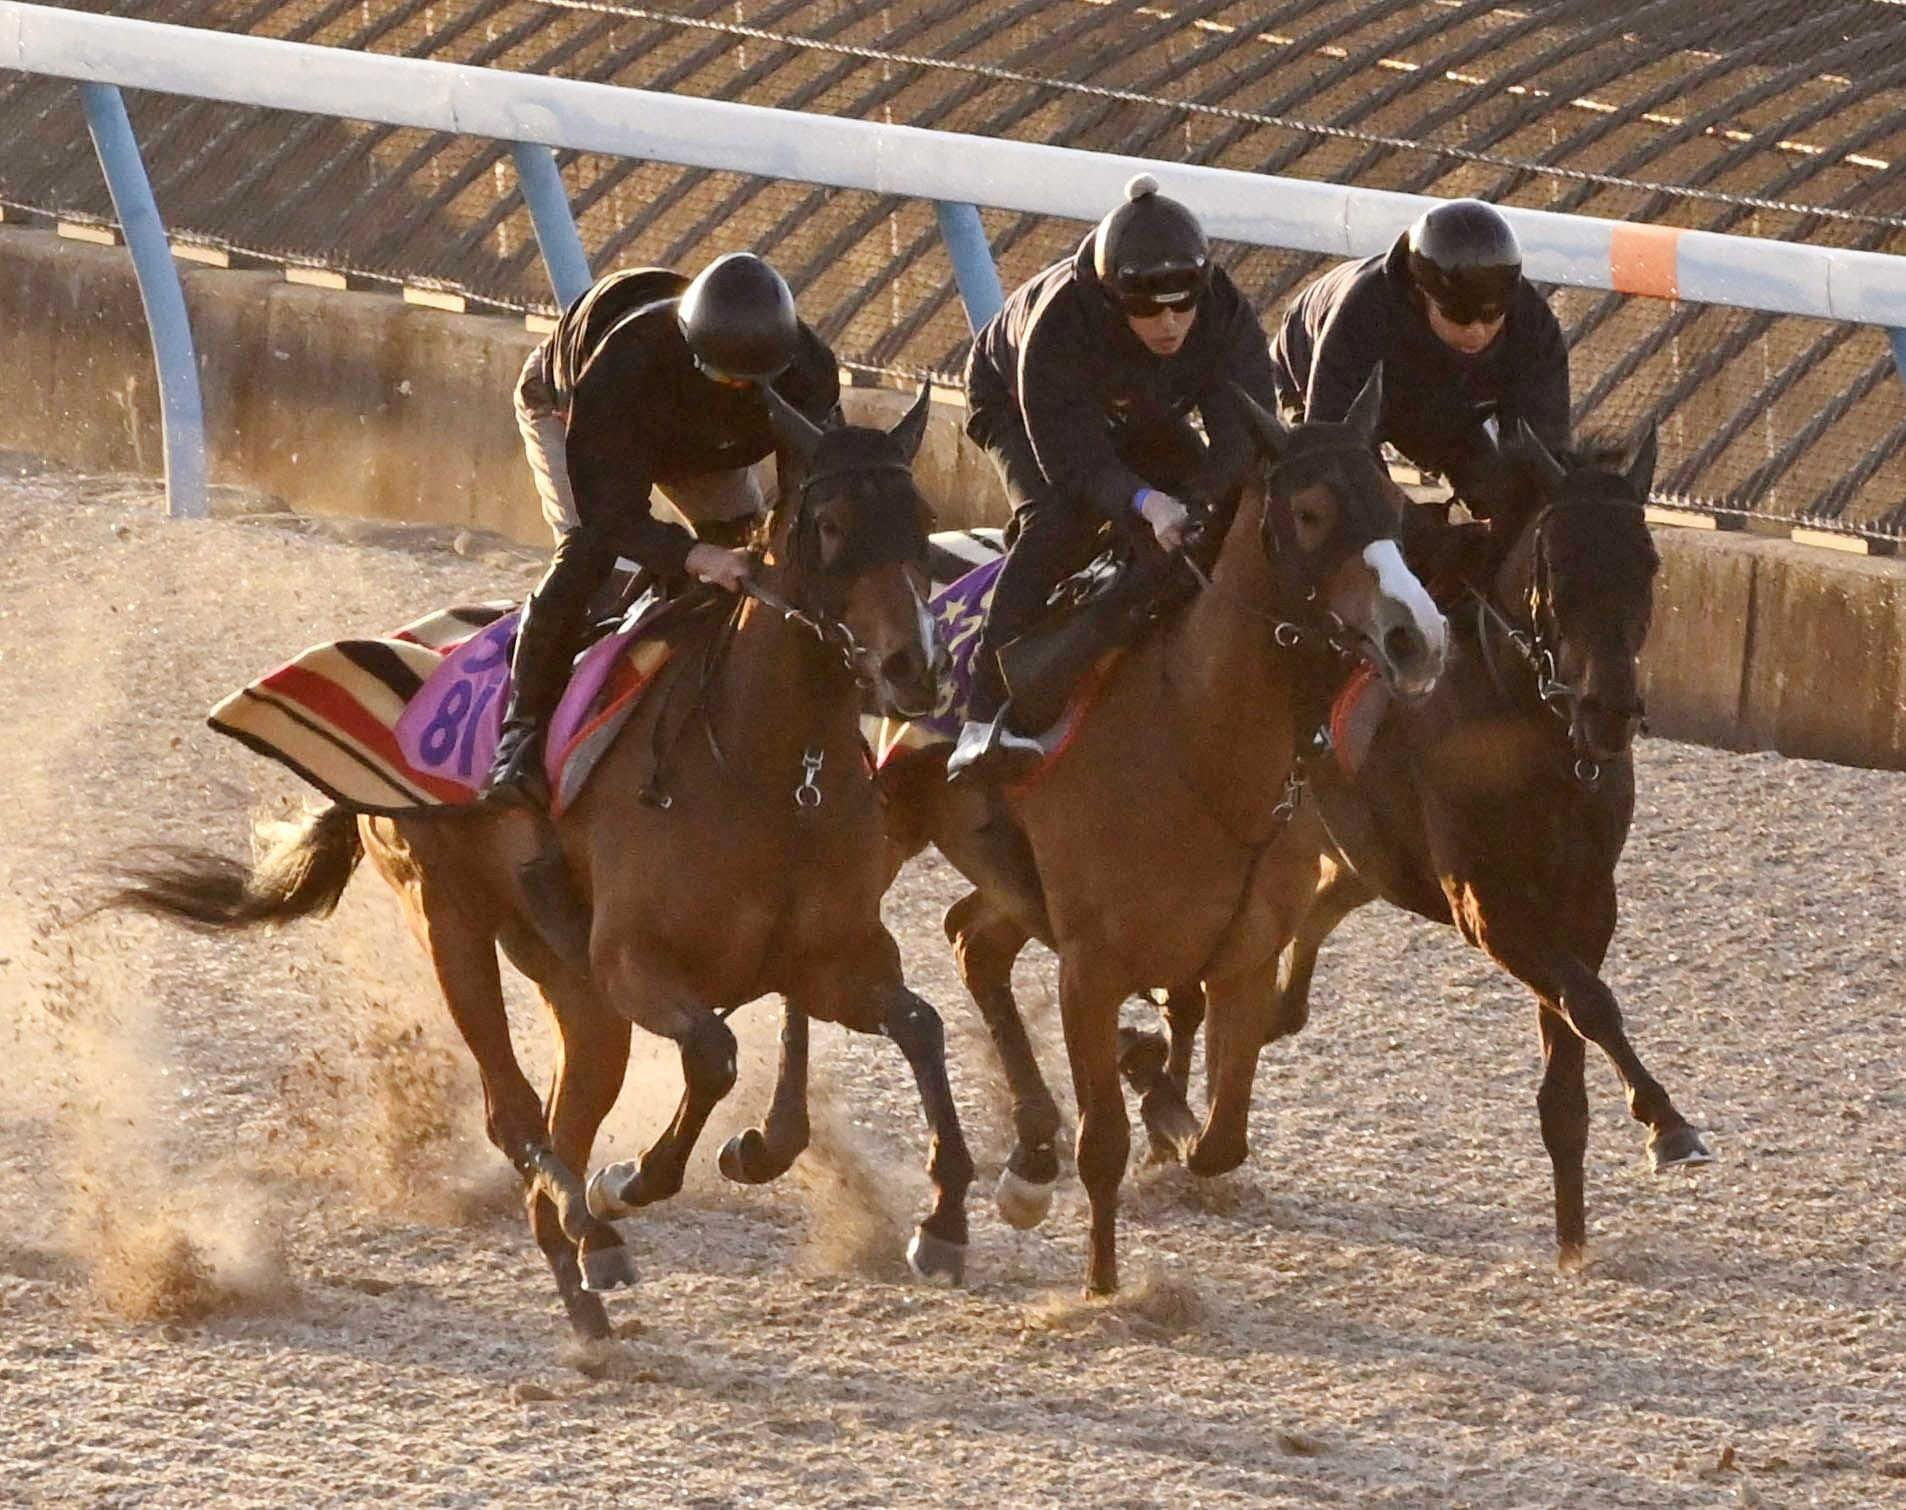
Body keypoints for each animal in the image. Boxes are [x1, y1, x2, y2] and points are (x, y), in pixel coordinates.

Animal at [102, 383, 968, 1342]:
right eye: (833, 524)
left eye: (923, 520)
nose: (915, 668)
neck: (775, 770)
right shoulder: (633, 963)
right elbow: (713, 1056)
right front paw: (636, 1181)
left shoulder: (833, 962)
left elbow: (921, 1026)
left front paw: (944, 1220)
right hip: (453, 928)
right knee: (513, 1117)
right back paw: (593, 1233)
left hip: (574, 993)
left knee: (563, 1114)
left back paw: (583, 1280)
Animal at [1151, 421, 1723, 1265]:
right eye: (1559, 567)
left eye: (1648, 564)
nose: (1610, 712)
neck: (1525, 720)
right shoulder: (1485, 903)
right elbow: (1591, 1003)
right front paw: (1666, 1122)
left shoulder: (1585, 899)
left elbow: (1572, 1041)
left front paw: (1573, 1238)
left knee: (1311, 916)